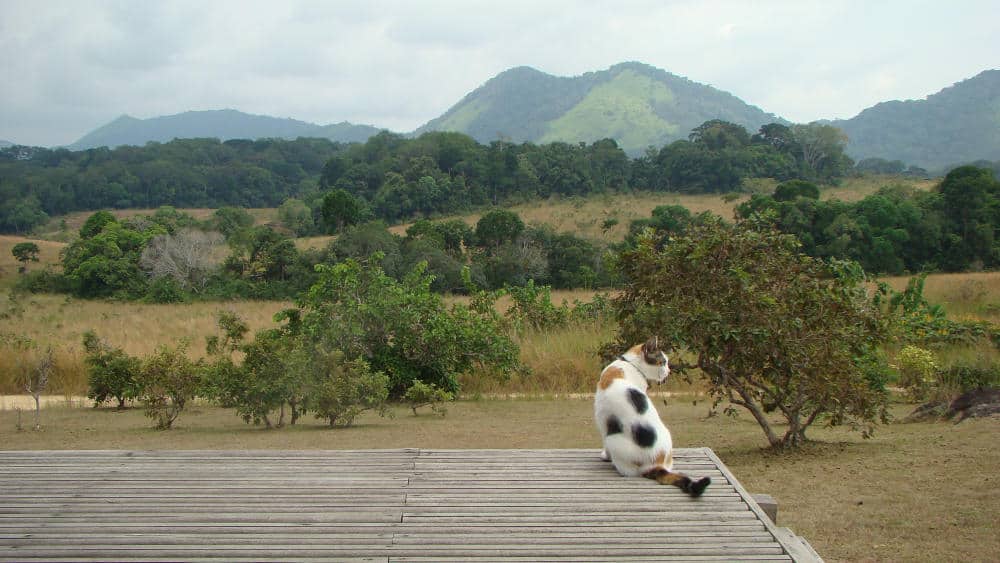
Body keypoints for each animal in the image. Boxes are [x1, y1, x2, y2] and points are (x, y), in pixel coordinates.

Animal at [592, 334, 712, 498]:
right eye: (663, 362)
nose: (669, 371)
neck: (630, 366)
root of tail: (656, 464)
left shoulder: (603, 421)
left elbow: (604, 444)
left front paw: (605, 456)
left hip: (613, 438)